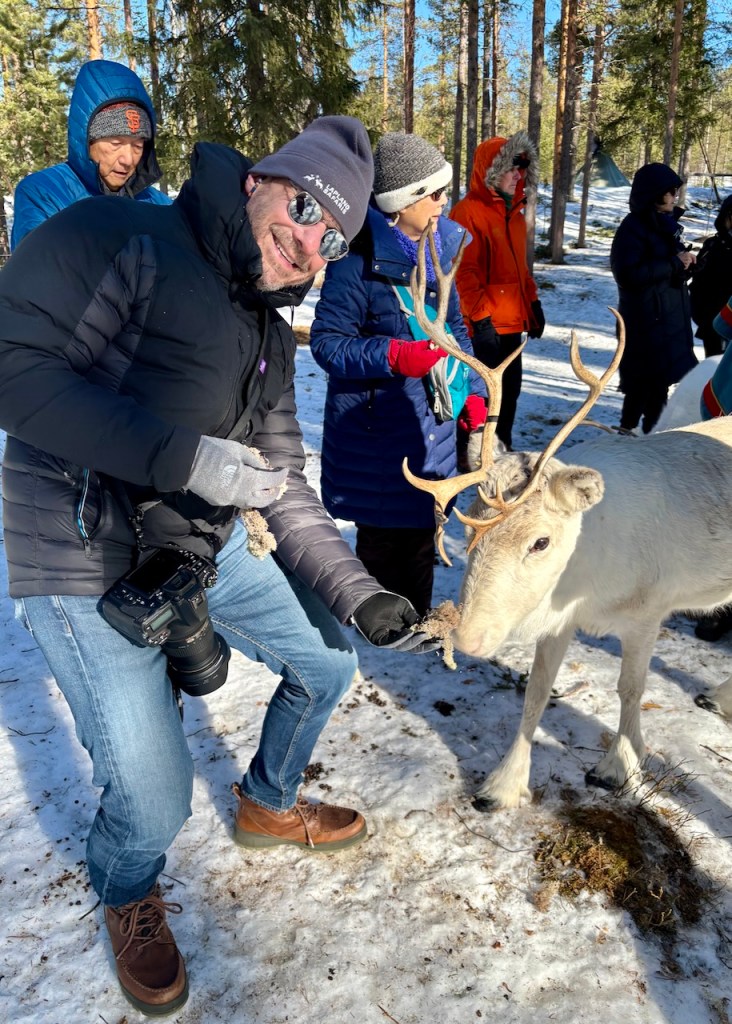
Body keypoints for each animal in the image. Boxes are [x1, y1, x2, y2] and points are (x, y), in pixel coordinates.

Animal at [404, 228, 732, 809]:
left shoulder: (649, 611)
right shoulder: (557, 621)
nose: (467, 640)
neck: (589, 581)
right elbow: (536, 694)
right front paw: (503, 784)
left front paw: (620, 765)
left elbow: (630, 689)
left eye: (540, 542)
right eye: (468, 533)